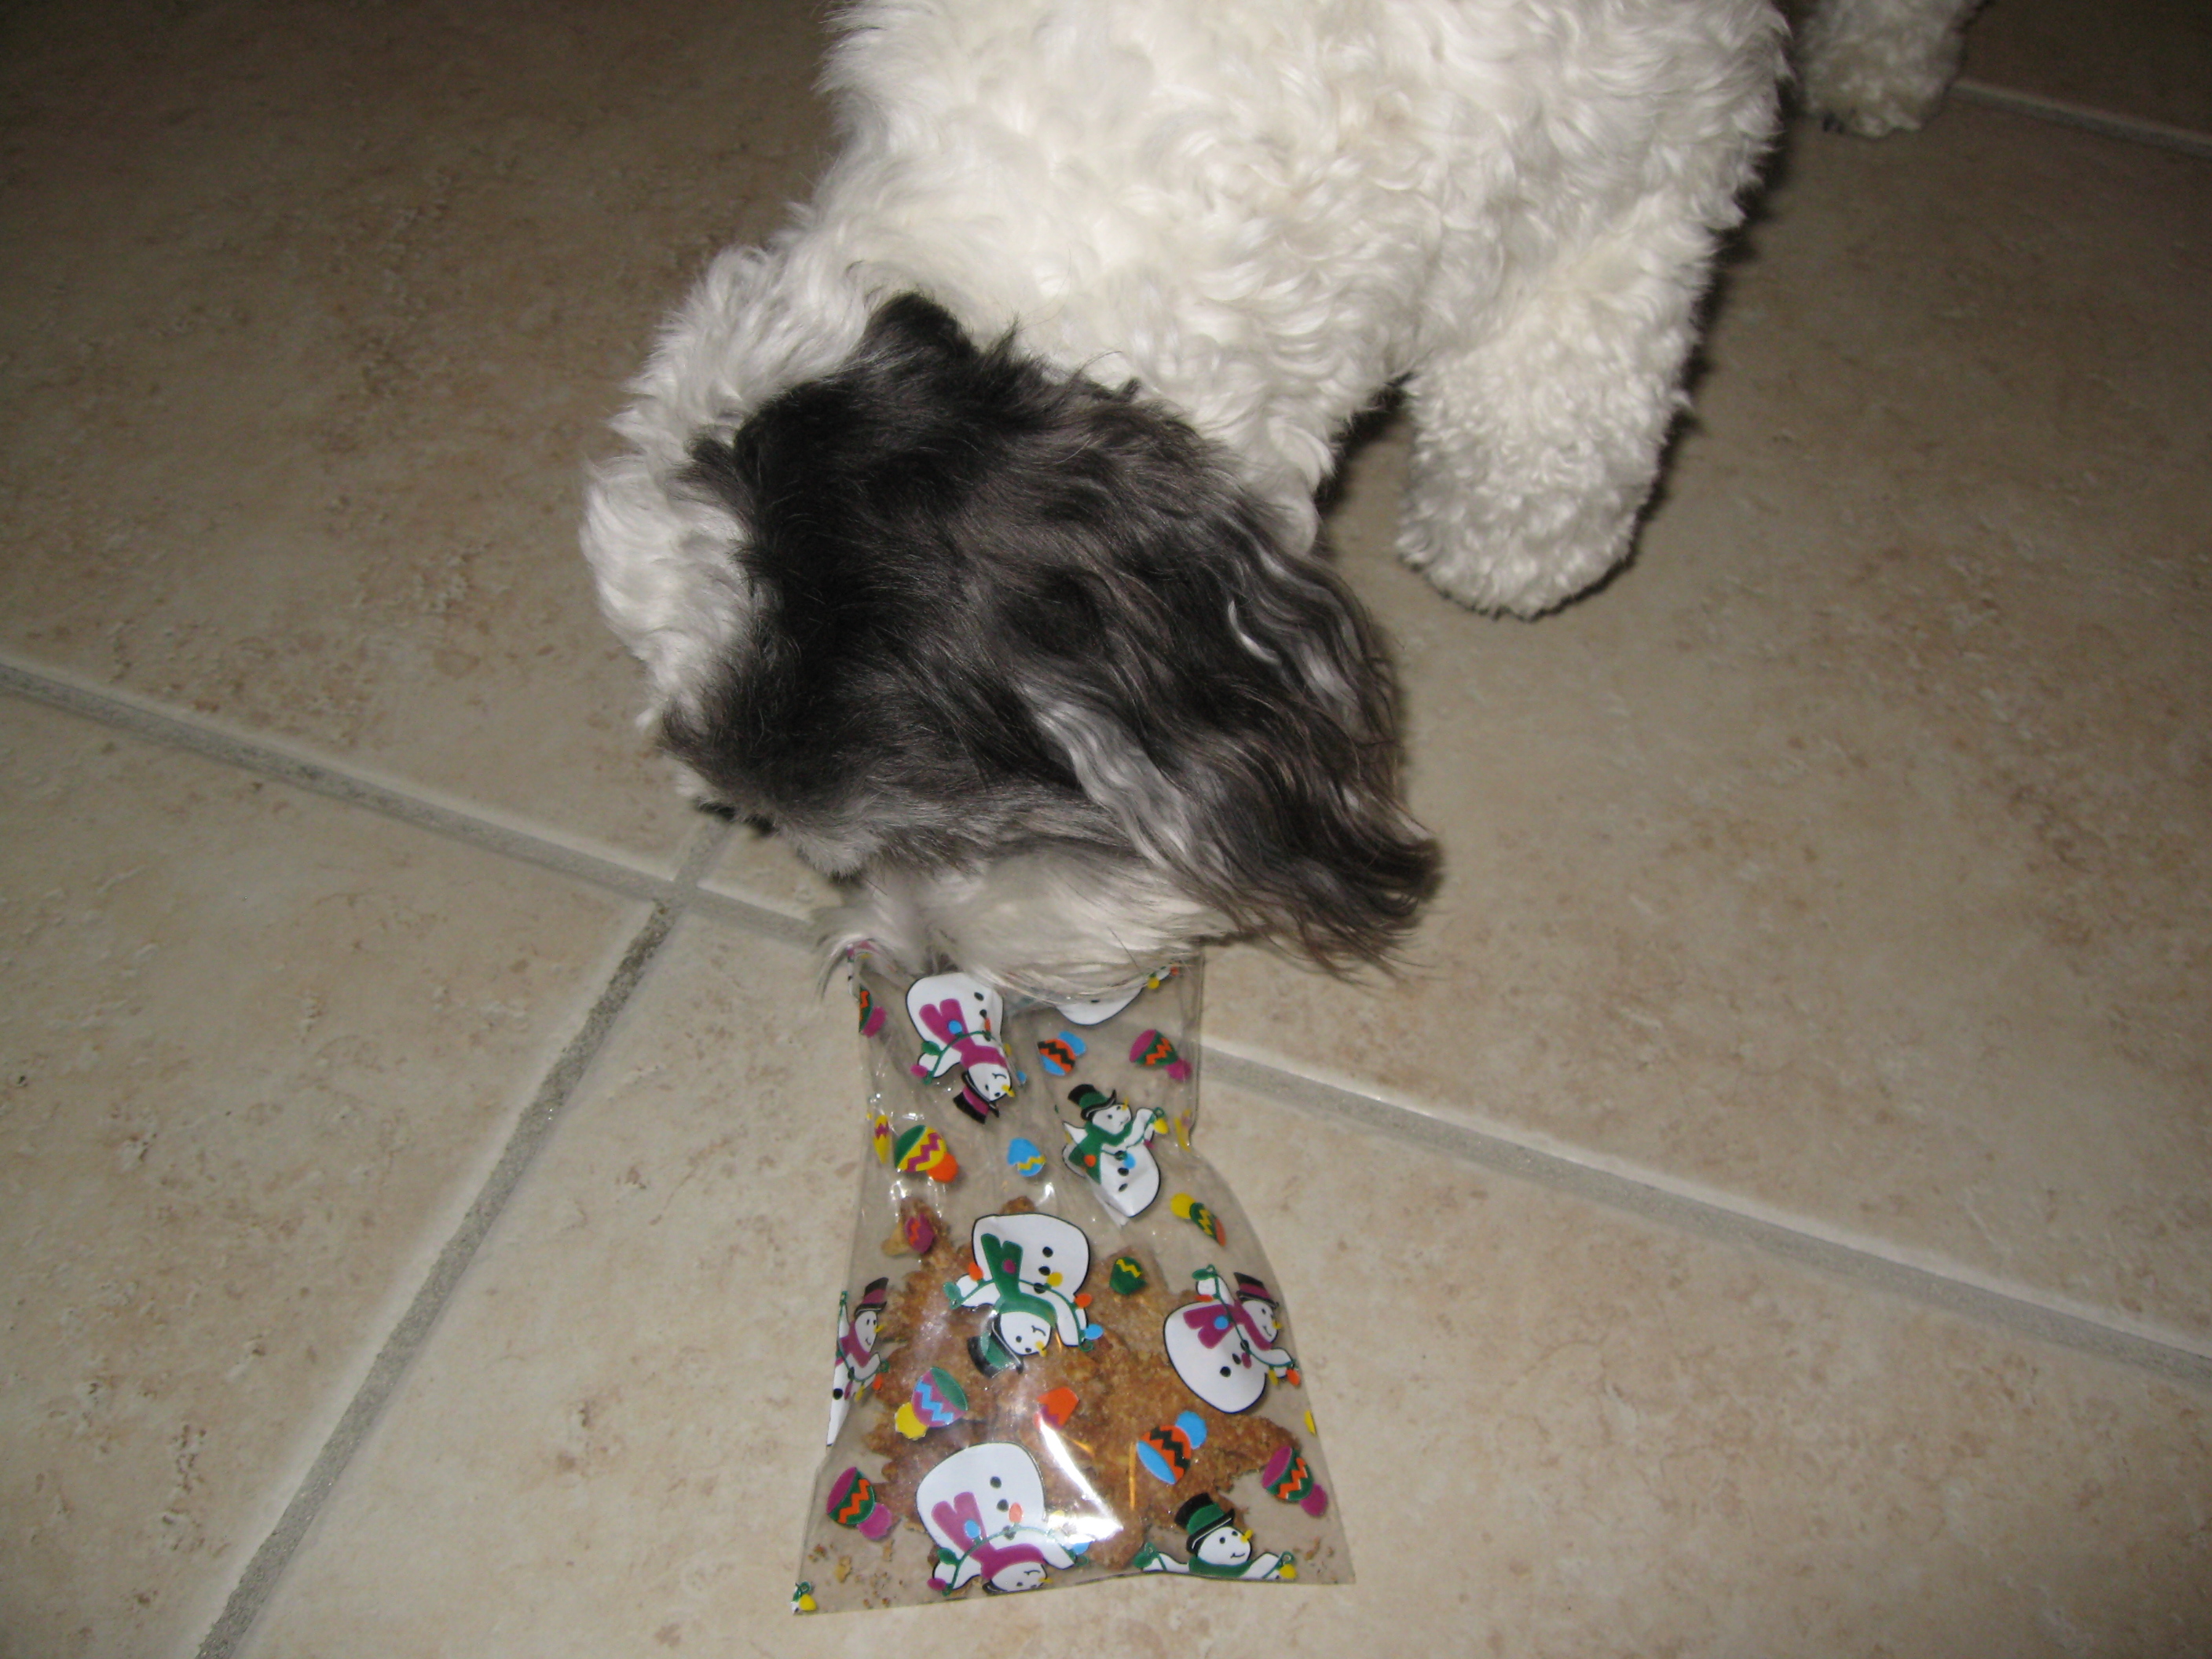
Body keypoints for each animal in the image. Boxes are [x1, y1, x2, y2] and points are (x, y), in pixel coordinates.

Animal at [583, 0, 1975, 995]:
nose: (927, 966)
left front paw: (1505, 536)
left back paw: (1881, 62)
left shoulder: (1667, 137)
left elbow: (1548, 435)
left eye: (953, 829)